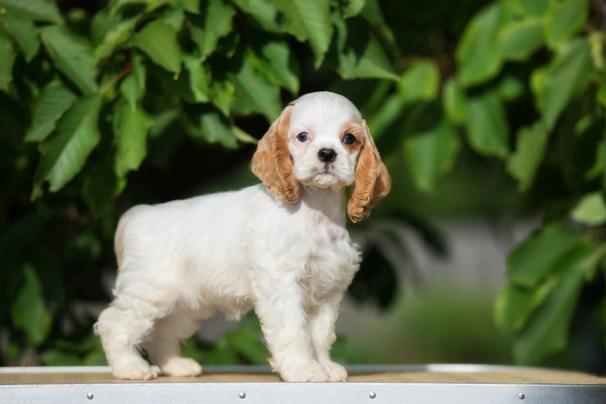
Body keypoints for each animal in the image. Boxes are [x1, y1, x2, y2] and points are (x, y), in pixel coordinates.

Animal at [95, 90, 390, 382]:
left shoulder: (328, 288)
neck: (316, 210)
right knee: (114, 324)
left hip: (184, 303)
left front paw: (325, 367)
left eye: (349, 139)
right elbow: (295, 331)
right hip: (149, 293)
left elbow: (320, 334)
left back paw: (176, 365)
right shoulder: (283, 284)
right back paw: (129, 367)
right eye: (303, 136)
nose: (327, 153)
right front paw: (303, 370)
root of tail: (138, 214)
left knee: (162, 332)